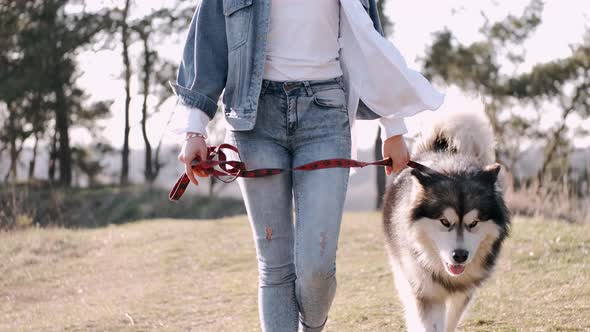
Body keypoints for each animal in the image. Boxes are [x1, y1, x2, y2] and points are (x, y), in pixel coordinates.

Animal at [384, 111, 512, 332]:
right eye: (444, 221)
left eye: (473, 223)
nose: (459, 256)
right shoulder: (426, 290)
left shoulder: (464, 291)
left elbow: (451, 320)